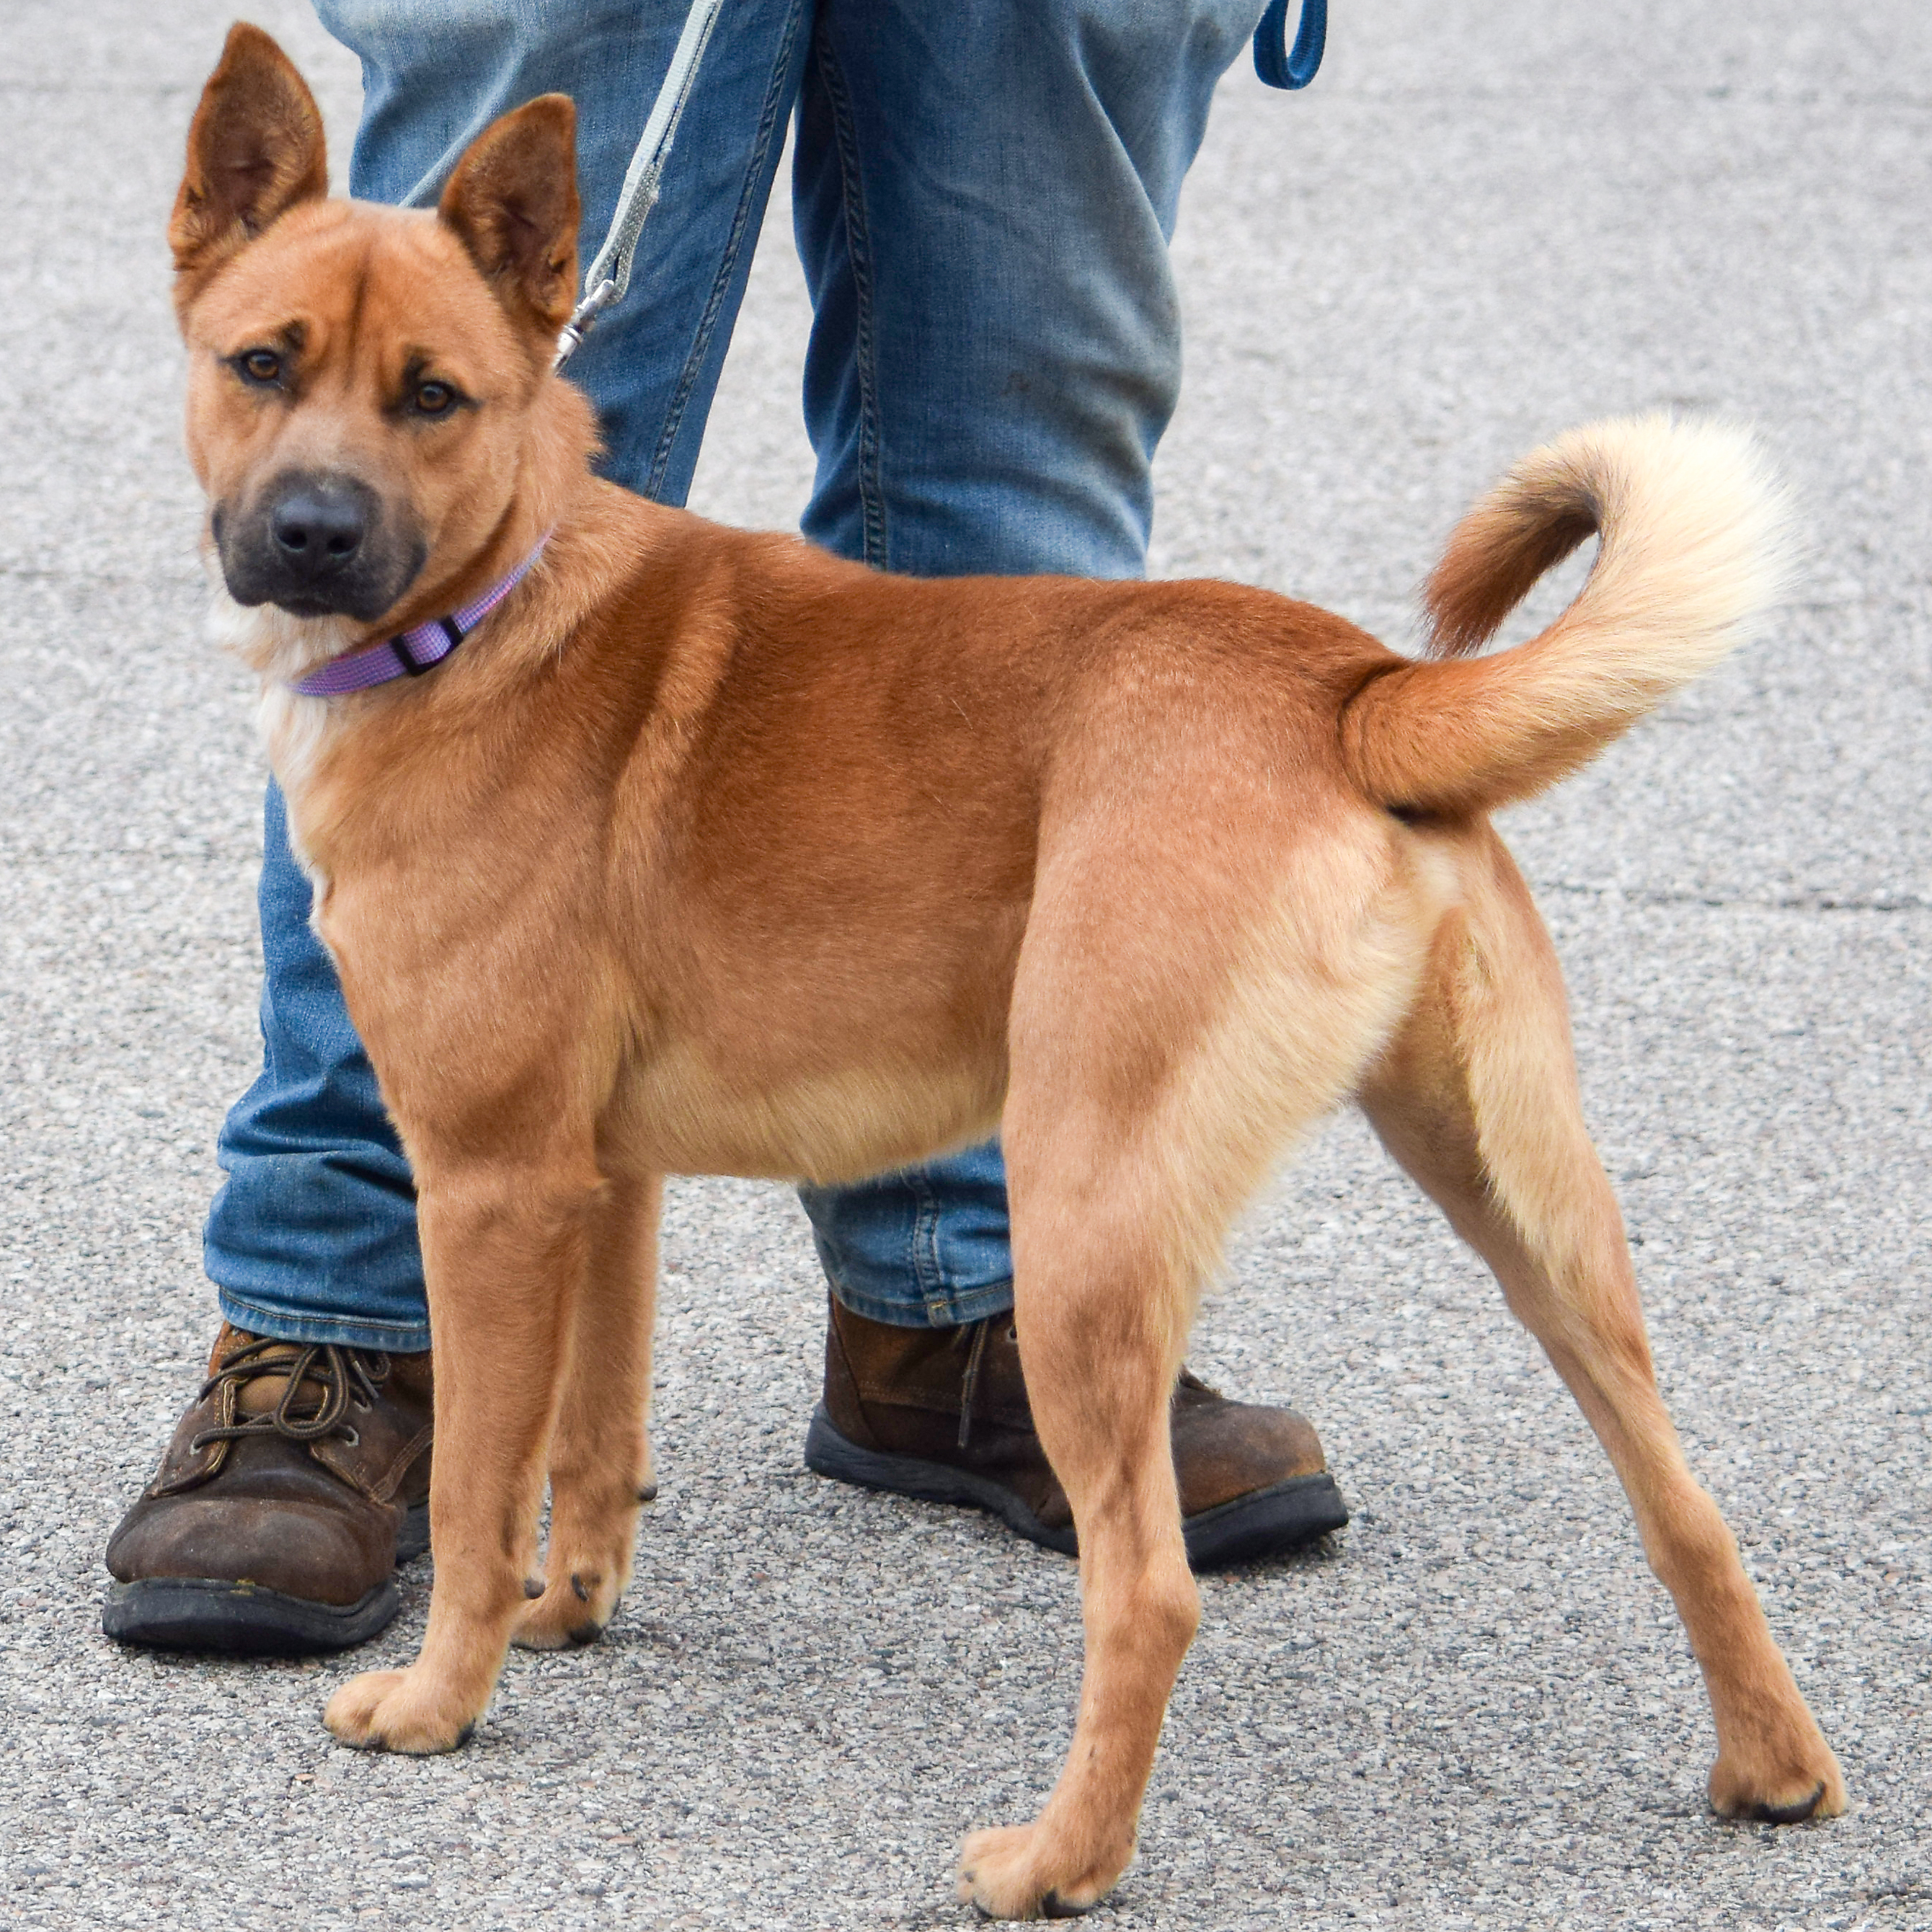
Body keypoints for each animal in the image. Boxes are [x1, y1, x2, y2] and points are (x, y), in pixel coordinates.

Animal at [174, 30, 1847, 1916]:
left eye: (435, 397)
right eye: (262, 363)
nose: (312, 534)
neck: (492, 601)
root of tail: (1351, 686)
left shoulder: (487, 1183)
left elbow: (475, 1487)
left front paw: (440, 1698)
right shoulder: (601, 1183)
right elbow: (591, 1444)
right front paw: (572, 1609)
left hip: (1083, 1215)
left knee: (1149, 1586)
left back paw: (1055, 1856)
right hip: (1524, 1207)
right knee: (1684, 1501)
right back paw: (1769, 1765)